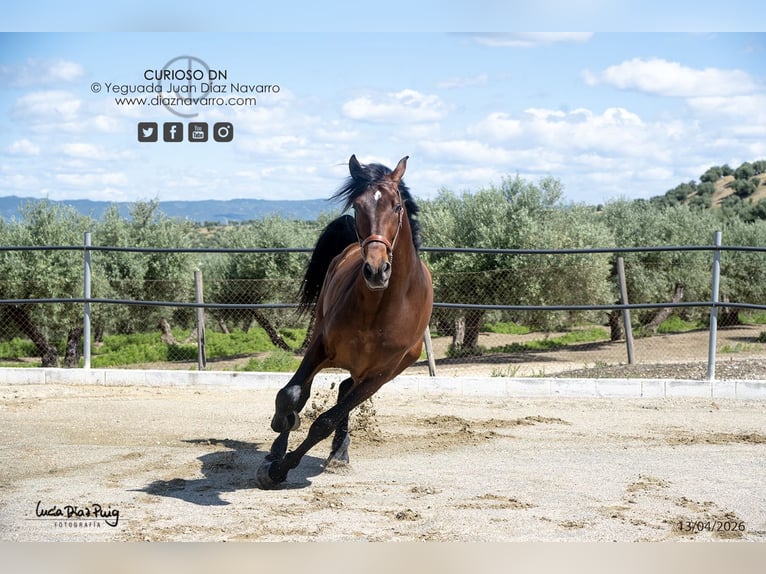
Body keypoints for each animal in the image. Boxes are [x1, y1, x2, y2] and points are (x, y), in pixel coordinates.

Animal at [255, 154, 433, 489]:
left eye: (397, 206)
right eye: (357, 205)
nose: (376, 270)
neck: (380, 307)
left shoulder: (380, 374)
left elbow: (326, 421)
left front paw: (280, 470)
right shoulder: (321, 347)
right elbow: (290, 395)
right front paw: (278, 442)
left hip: (368, 373)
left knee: (344, 391)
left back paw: (339, 454)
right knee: (311, 391)